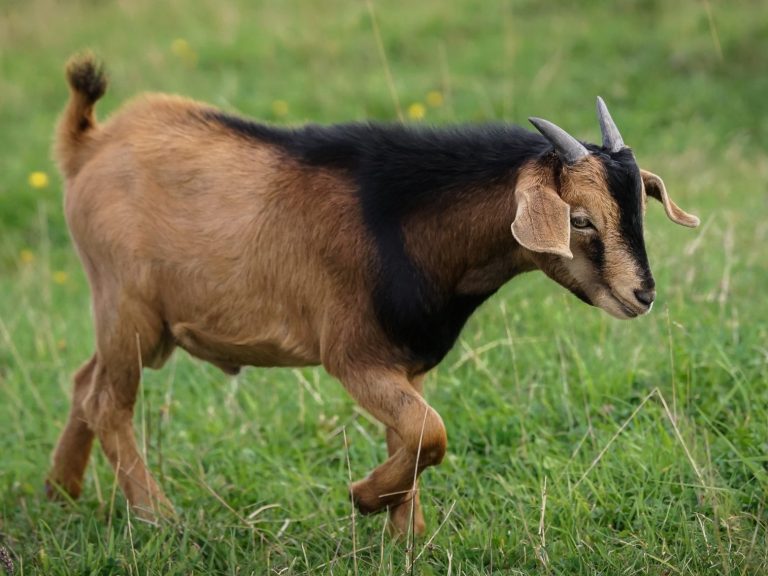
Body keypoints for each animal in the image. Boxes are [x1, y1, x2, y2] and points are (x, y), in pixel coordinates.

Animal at [48, 55, 699, 535]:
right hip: (126, 306)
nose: (641, 294)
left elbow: (414, 438)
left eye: (639, 207)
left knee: (84, 384)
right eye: (580, 220)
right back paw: (158, 517)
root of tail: (89, 145)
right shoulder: (354, 356)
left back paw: (61, 494)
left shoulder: (408, 365)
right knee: (107, 401)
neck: (405, 224)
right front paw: (363, 498)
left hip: (137, 321)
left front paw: (406, 537)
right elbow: (429, 434)